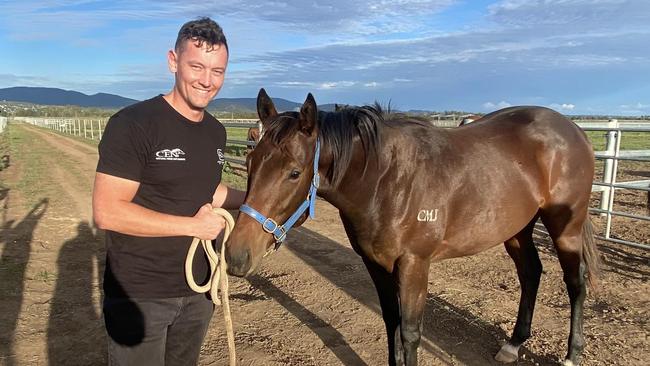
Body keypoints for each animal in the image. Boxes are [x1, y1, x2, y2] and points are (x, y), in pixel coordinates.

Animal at [225, 89, 600, 366]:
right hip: (517, 229)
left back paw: (572, 354)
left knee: (575, 281)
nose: (235, 255)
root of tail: (573, 130)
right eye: (251, 161)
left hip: (565, 226)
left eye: (294, 172)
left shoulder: (415, 264)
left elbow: (409, 332)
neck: (386, 179)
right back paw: (513, 345)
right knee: (531, 273)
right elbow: (391, 323)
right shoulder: (375, 263)